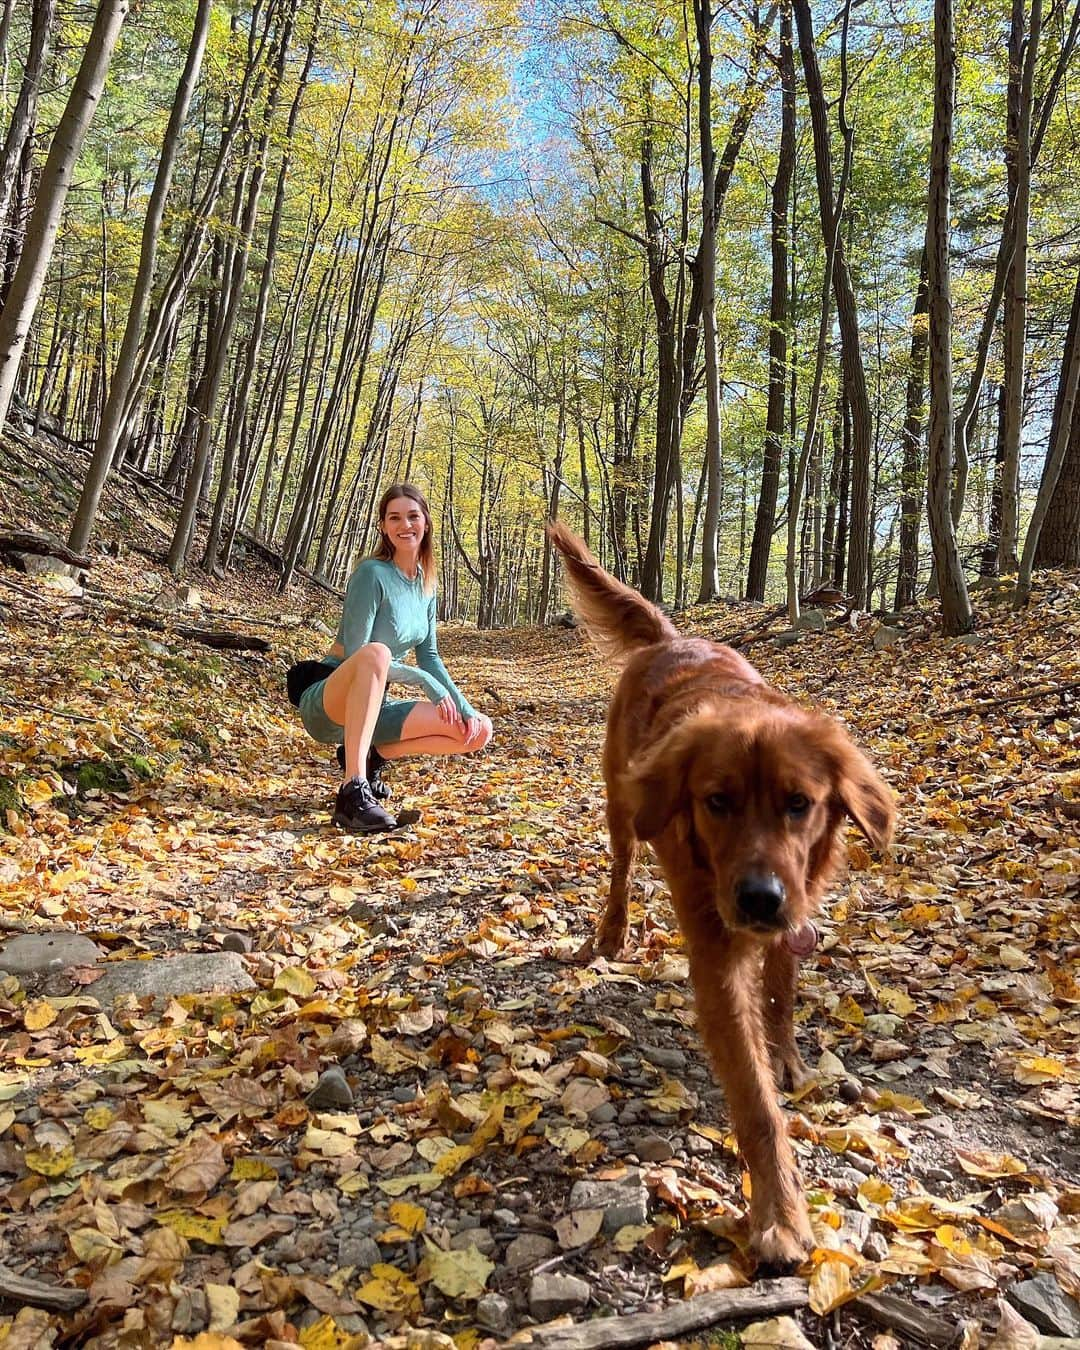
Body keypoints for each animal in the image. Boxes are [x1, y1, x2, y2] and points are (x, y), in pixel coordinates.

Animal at [548, 521, 896, 1269]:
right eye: (717, 802)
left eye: (799, 803)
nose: (761, 899)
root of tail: (672, 637)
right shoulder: (715, 959)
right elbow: (757, 1106)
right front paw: (781, 1216)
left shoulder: (794, 914)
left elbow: (782, 992)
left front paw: (787, 1056)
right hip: (623, 807)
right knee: (620, 871)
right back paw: (611, 935)